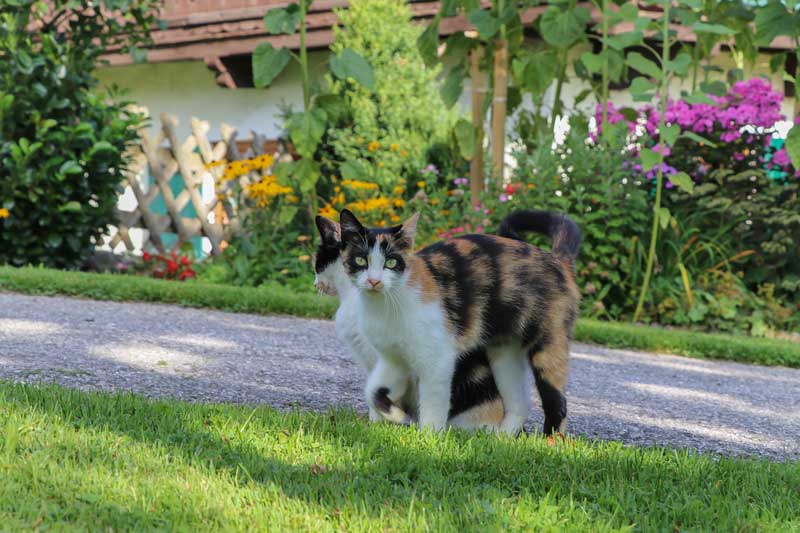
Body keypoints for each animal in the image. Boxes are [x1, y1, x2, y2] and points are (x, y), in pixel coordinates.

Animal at [338, 206, 580, 434]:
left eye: (390, 262)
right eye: (360, 259)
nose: (374, 281)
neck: (387, 306)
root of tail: (556, 260)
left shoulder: (438, 359)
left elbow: (433, 405)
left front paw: (427, 439)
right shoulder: (393, 359)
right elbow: (372, 390)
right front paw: (393, 414)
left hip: (547, 346)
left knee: (557, 403)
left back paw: (549, 441)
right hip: (504, 355)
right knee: (520, 404)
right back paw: (502, 438)